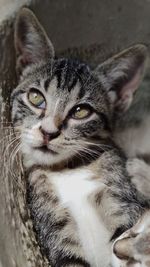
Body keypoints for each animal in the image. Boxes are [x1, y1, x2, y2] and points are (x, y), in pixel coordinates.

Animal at [11, 7, 148, 267]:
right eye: (36, 97)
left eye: (81, 111)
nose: (48, 131)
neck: (69, 168)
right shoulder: (52, 226)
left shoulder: (124, 204)